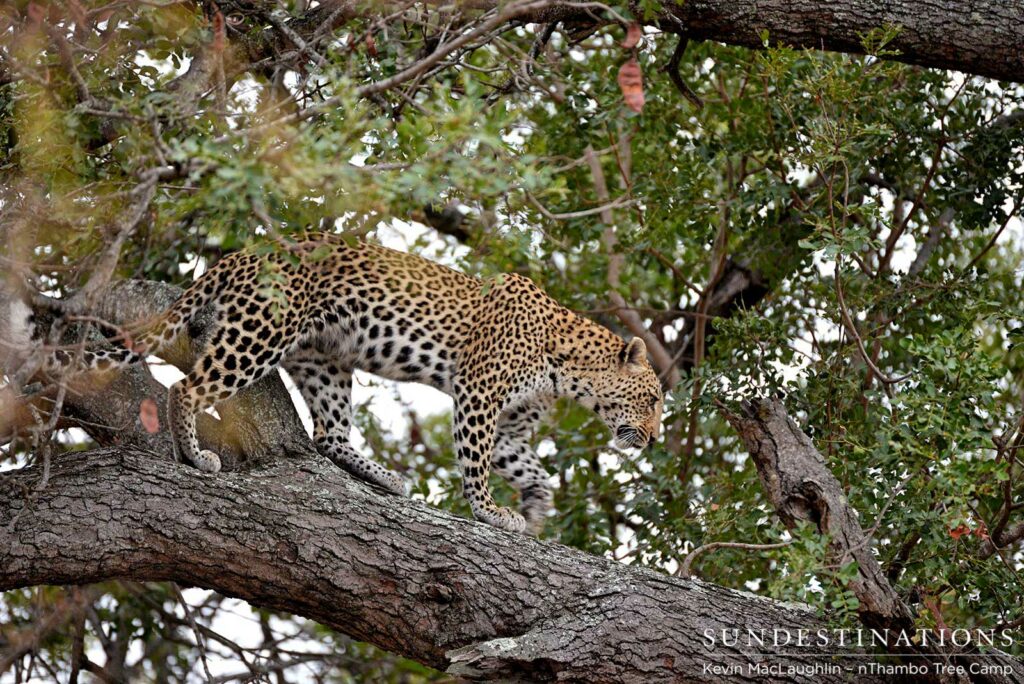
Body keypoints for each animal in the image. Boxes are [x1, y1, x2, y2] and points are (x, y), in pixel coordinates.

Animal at [38, 233, 665, 534]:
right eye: (656, 398)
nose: (656, 438)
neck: (568, 369)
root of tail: (243, 254)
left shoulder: (511, 425)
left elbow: (532, 469)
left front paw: (533, 510)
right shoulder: (478, 395)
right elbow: (476, 462)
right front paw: (490, 512)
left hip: (324, 359)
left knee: (330, 435)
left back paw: (385, 477)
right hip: (259, 335)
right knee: (187, 388)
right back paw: (195, 456)